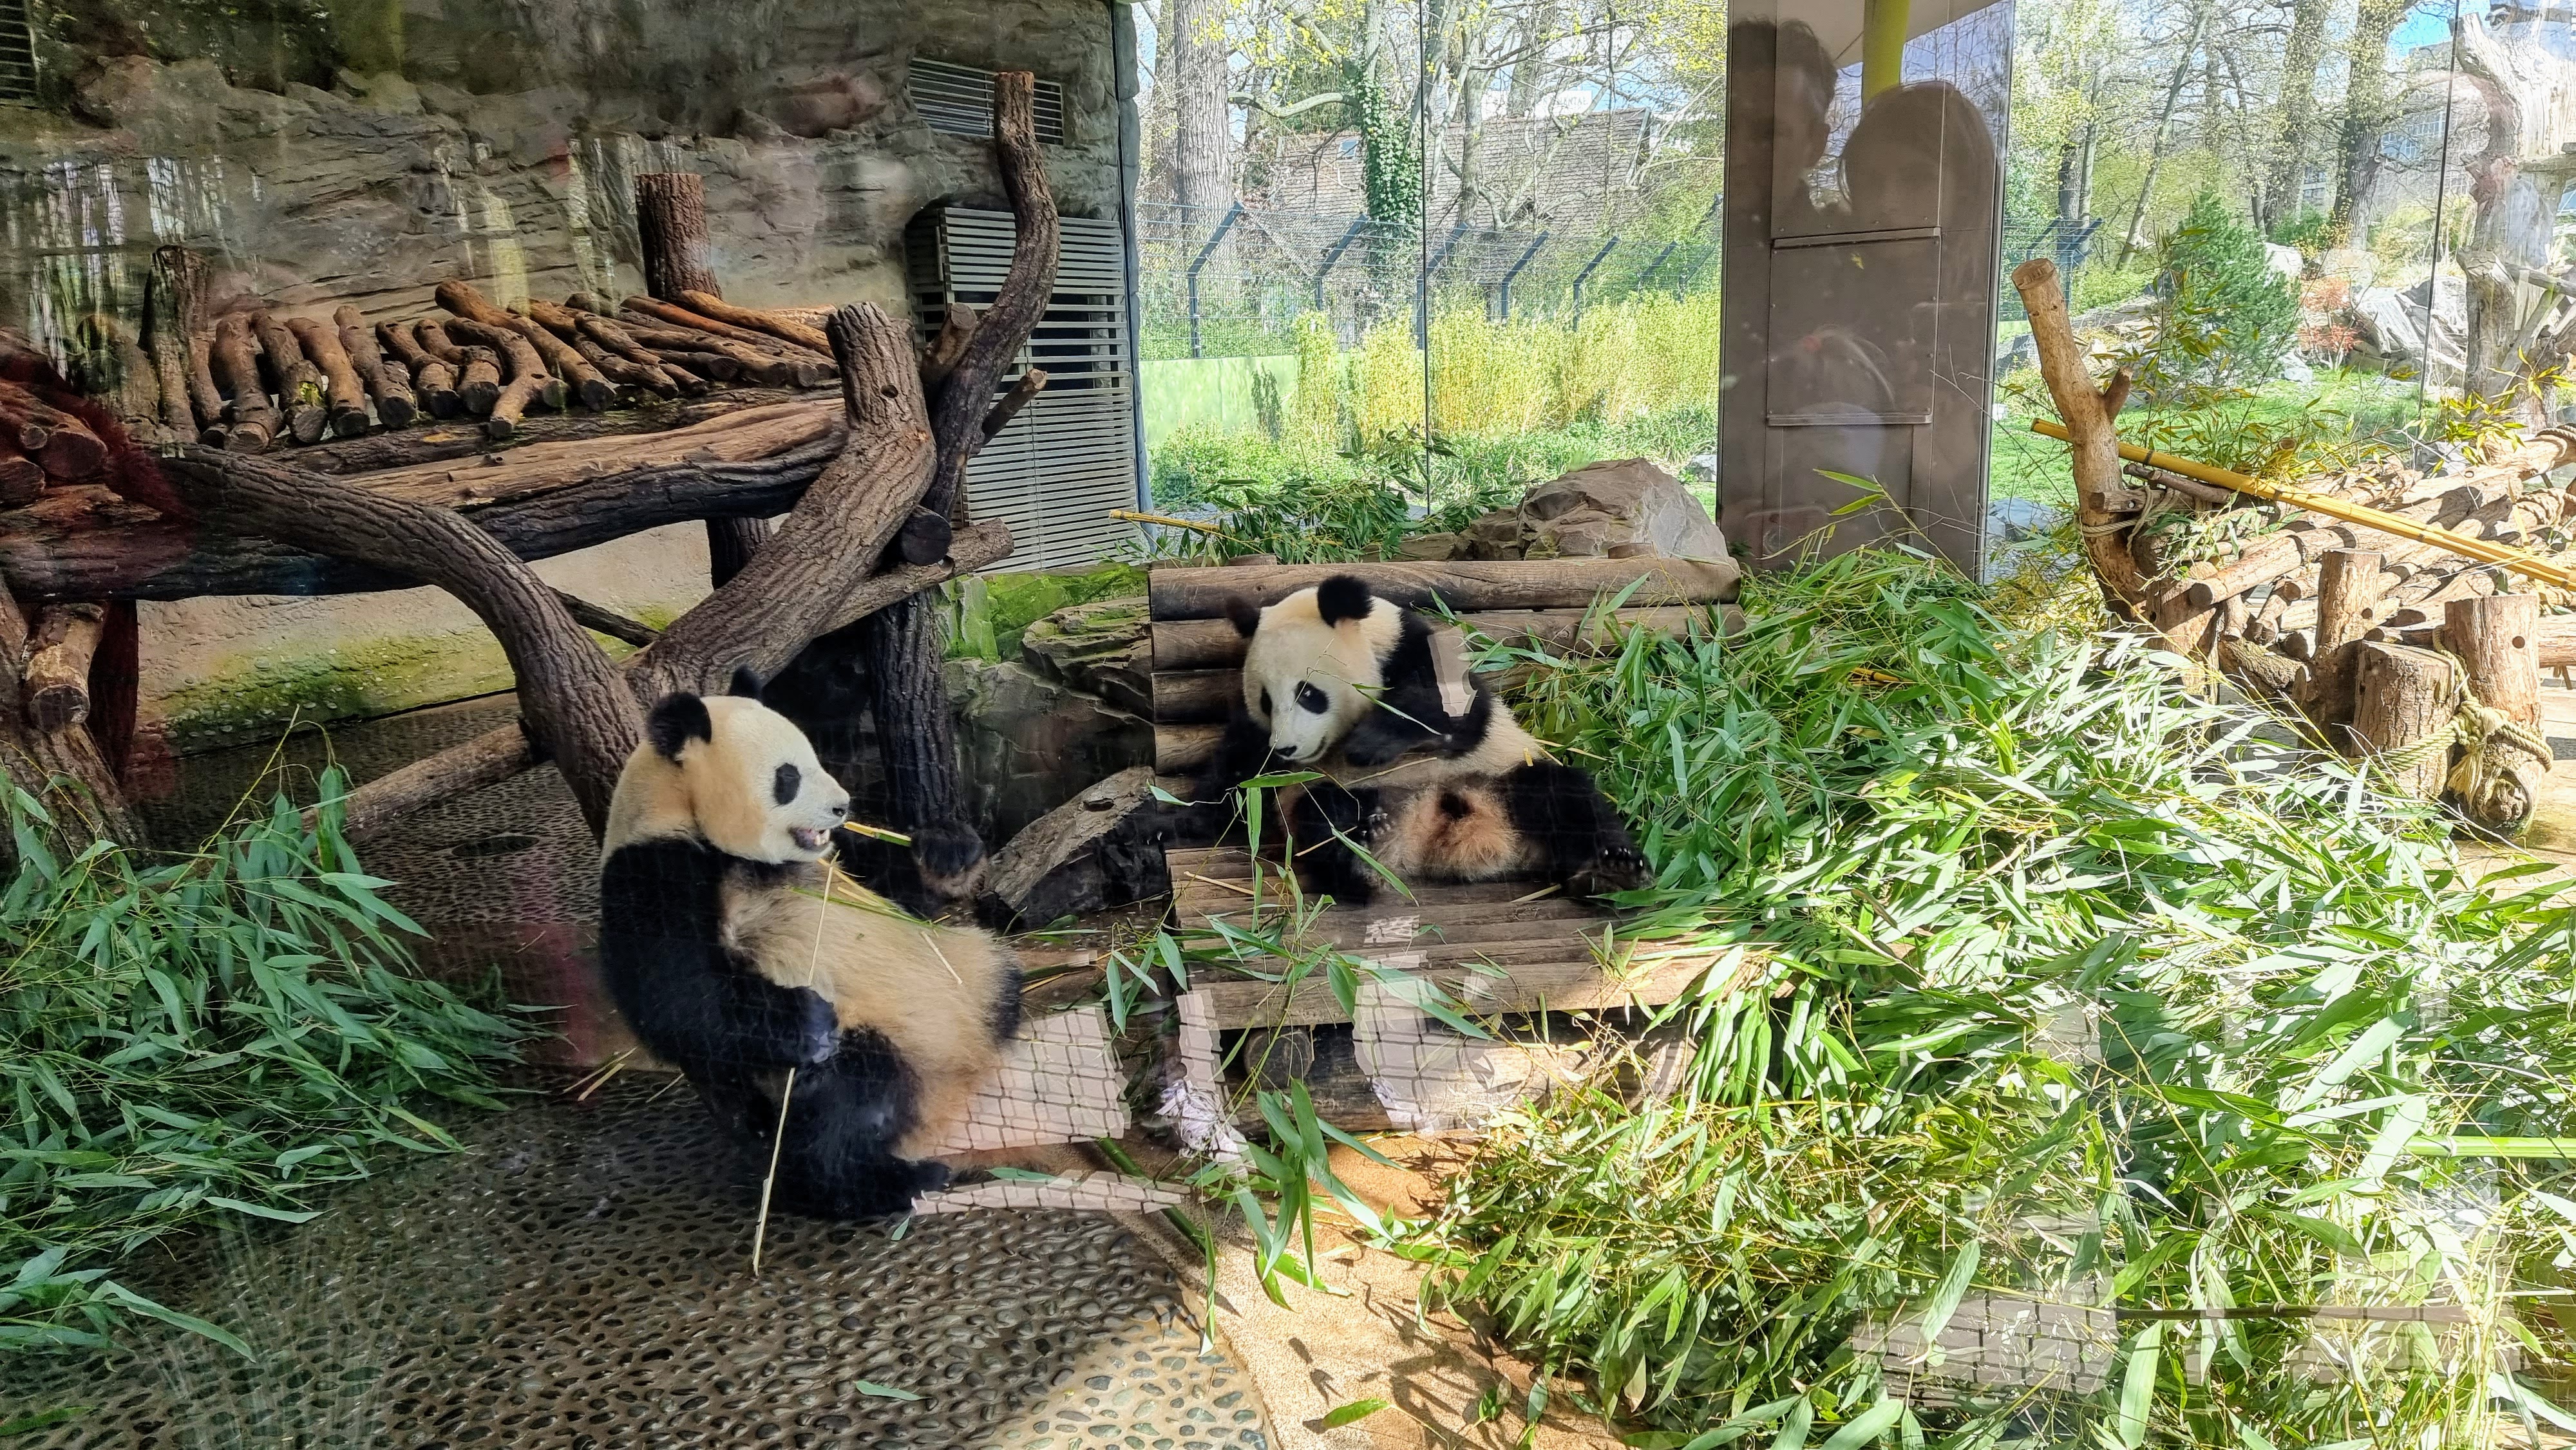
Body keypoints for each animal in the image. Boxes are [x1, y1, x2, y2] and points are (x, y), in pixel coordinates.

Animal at [597, 674, 1021, 1220]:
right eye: (788, 777)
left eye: (818, 757)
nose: (843, 806)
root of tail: (957, 1079)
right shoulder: (650, 866)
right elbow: (676, 994)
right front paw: (806, 1020)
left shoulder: (834, 856)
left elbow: (896, 885)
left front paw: (947, 851)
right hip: (856, 1045)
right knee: (848, 1099)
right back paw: (881, 1182)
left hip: (972, 971)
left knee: (1003, 982)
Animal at [1186, 574, 1650, 906]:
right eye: (1266, 700)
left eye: (1308, 694)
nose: (1285, 748)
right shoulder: (1258, 740)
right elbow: (1237, 776)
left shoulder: (1420, 653)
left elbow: (1455, 712)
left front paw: (1369, 742)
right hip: (1339, 801)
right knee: (1320, 816)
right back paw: (1361, 849)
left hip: (1503, 776)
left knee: (1565, 796)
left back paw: (1611, 871)